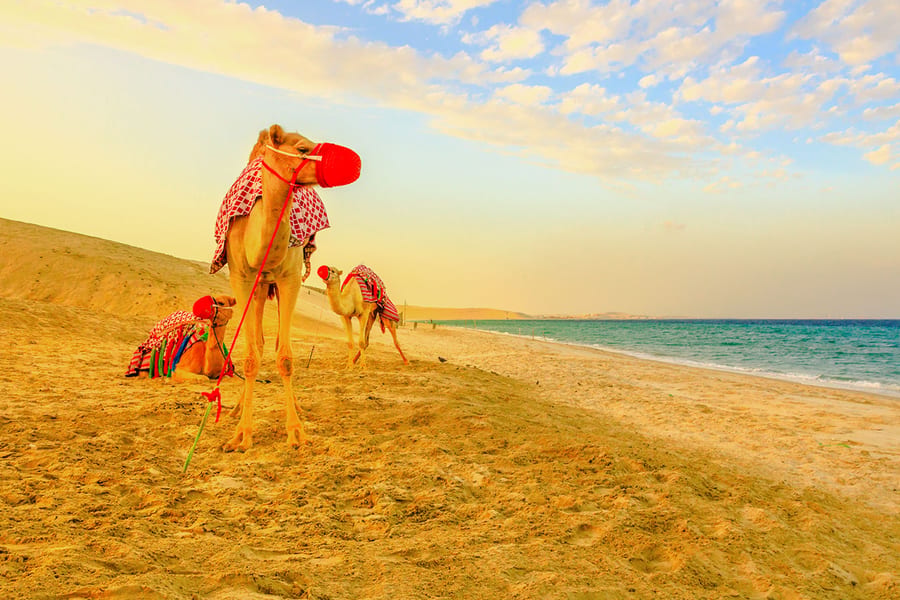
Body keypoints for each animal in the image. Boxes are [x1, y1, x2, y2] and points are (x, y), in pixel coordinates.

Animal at [214, 124, 360, 451]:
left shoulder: (289, 277)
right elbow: (250, 355)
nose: (353, 162)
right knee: (257, 343)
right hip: (258, 288)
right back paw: (237, 409)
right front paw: (241, 436)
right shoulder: (241, 277)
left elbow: (286, 357)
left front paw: (295, 431)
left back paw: (297, 408)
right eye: (303, 149)